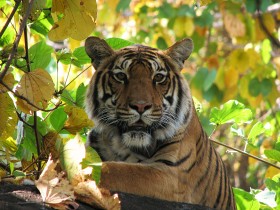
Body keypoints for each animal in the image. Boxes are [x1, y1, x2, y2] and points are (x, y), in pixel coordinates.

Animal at [84, 36, 235, 210]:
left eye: (158, 77)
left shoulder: (171, 174)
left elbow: (113, 169)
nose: (140, 106)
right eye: (121, 76)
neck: (122, 144)